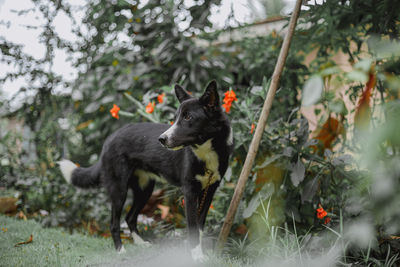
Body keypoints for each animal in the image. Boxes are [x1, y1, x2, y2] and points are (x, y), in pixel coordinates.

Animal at [57, 80, 233, 260]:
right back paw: (120, 250)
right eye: (175, 118)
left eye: (188, 117)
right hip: (119, 189)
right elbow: (193, 228)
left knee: (130, 217)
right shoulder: (190, 191)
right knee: (114, 223)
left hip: (145, 189)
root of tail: (110, 138)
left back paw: (141, 244)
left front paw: (198, 254)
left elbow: (199, 227)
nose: (161, 139)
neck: (206, 151)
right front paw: (197, 257)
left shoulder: (209, 191)